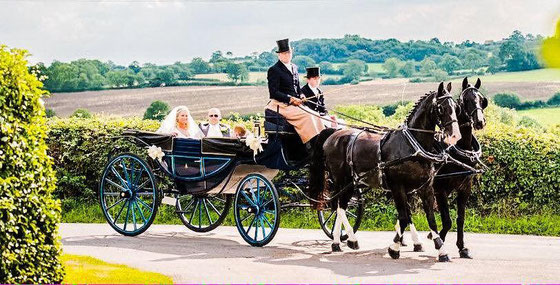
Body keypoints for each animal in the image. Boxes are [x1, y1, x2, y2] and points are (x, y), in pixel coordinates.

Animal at [308, 81, 462, 260]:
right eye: (441, 108)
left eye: (456, 107)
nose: (455, 136)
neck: (412, 145)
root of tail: (334, 133)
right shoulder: (397, 187)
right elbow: (404, 217)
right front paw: (394, 248)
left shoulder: (425, 187)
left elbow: (429, 218)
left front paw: (440, 249)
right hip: (341, 180)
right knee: (338, 207)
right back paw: (348, 240)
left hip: (351, 182)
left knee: (340, 206)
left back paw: (338, 242)